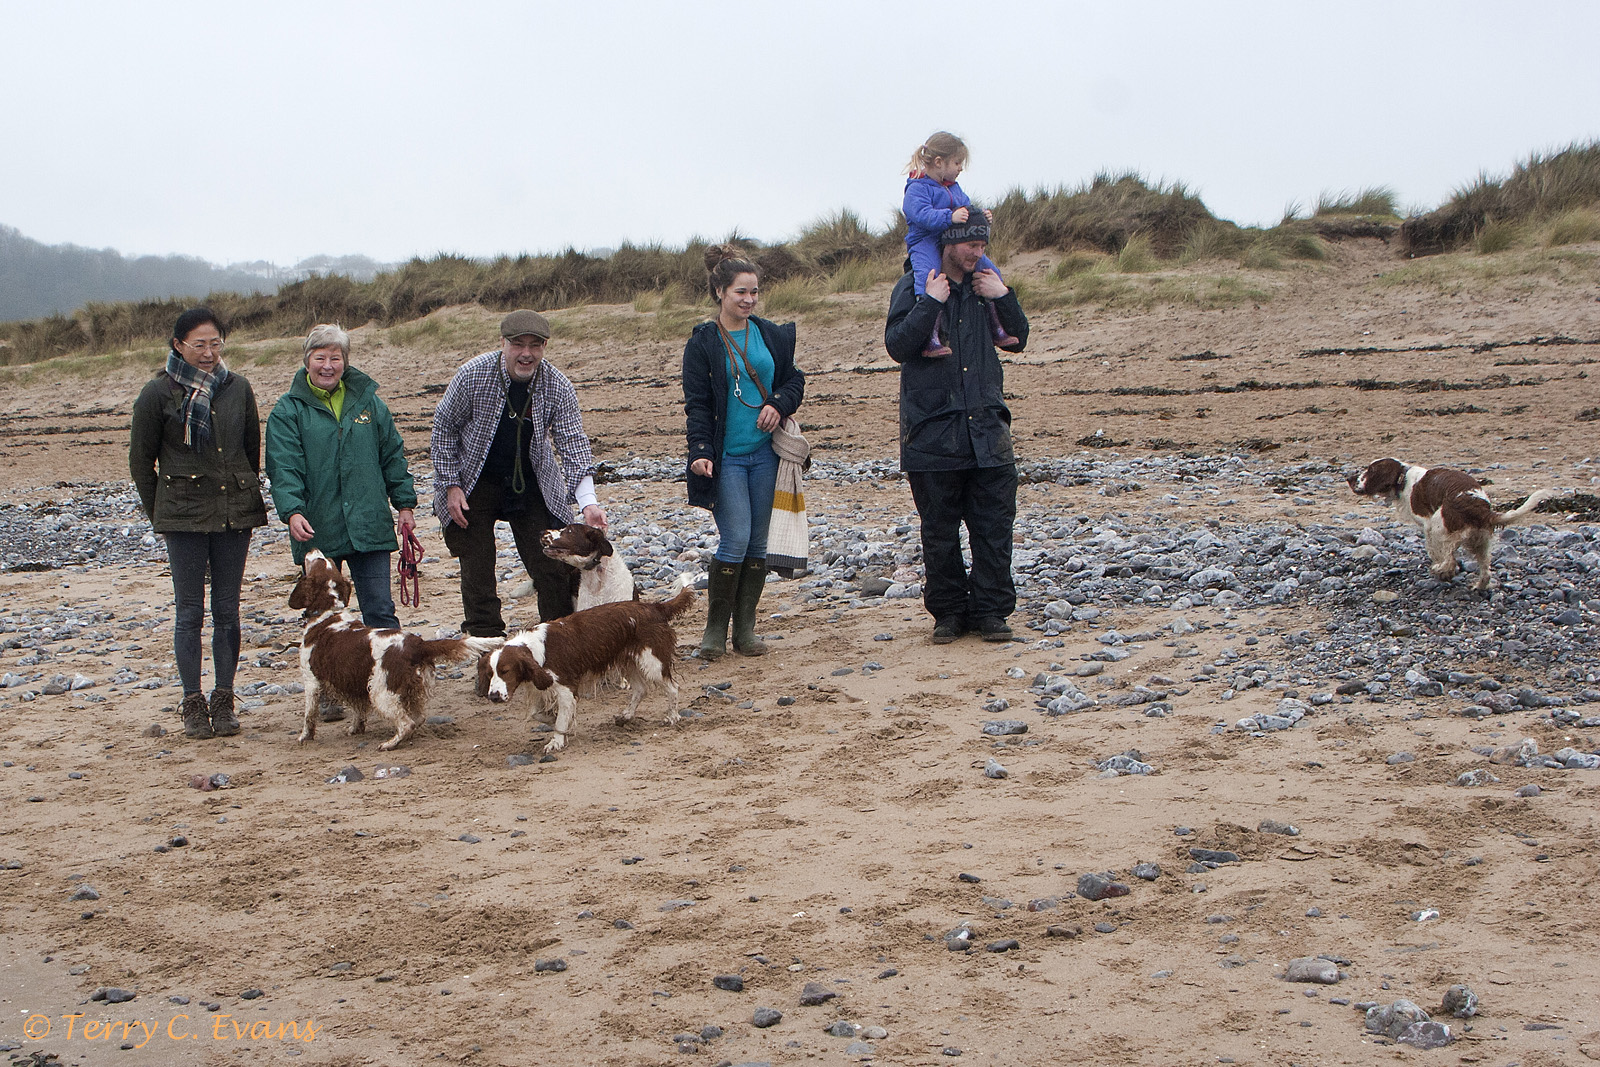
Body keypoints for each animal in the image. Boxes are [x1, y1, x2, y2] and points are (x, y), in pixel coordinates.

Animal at [289, 550, 514, 750]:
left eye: (316, 561)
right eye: (325, 561)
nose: (312, 549)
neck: (328, 614)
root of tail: (417, 644)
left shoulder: (311, 681)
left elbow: (309, 715)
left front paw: (304, 737)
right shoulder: (353, 682)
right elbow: (358, 711)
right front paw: (356, 729)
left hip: (381, 692)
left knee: (407, 723)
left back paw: (390, 743)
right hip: (410, 688)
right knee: (418, 718)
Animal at [476, 574, 695, 755]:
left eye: (505, 671)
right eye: (489, 674)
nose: (493, 696)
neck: (534, 649)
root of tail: (655, 607)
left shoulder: (566, 688)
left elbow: (561, 718)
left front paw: (555, 741)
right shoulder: (540, 686)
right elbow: (541, 714)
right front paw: (553, 719)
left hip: (651, 662)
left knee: (672, 688)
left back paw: (672, 717)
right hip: (628, 662)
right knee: (641, 689)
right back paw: (626, 716)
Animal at [1347, 458, 1558, 590]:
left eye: (1369, 471)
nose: (1349, 478)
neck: (1403, 478)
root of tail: (1481, 509)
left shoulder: (1427, 525)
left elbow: (1435, 551)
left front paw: (1438, 567)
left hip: (1438, 525)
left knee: (1450, 560)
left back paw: (1441, 571)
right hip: (1481, 541)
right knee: (1485, 571)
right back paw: (1479, 586)